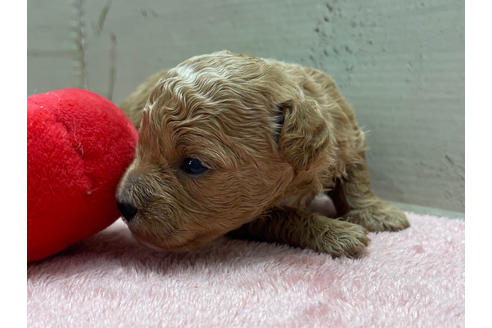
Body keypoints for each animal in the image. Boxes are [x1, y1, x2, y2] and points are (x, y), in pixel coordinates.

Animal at [115, 50, 408, 258]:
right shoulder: (248, 214)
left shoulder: (348, 132)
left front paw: (378, 213)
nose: (122, 205)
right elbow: (288, 216)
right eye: (141, 147)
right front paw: (338, 233)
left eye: (193, 164)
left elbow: (357, 178)